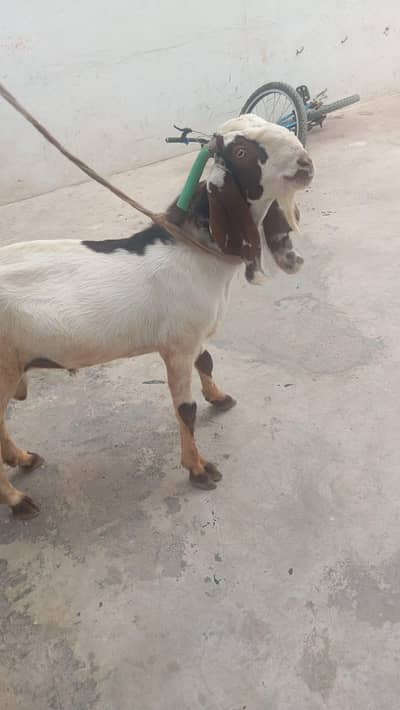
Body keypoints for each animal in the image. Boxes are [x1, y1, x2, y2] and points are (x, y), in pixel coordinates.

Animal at [0, 114, 314, 519]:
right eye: (242, 151)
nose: (305, 163)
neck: (194, 251)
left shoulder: (192, 335)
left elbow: (207, 362)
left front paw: (220, 398)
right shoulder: (176, 346)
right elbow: (186, 409)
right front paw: (198, 469)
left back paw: (23, 459)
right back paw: (18, 500)